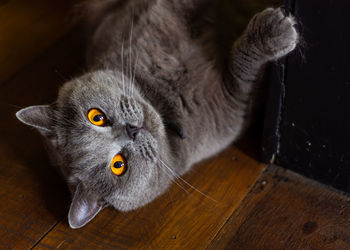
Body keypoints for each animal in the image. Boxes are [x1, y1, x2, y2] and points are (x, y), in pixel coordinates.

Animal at [15, 0, 298, 229]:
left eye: (96, 117)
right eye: (119, 165)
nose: (132, 130)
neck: (164, 102)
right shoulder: (230, 108)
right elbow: (241, 73)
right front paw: (274, 32)